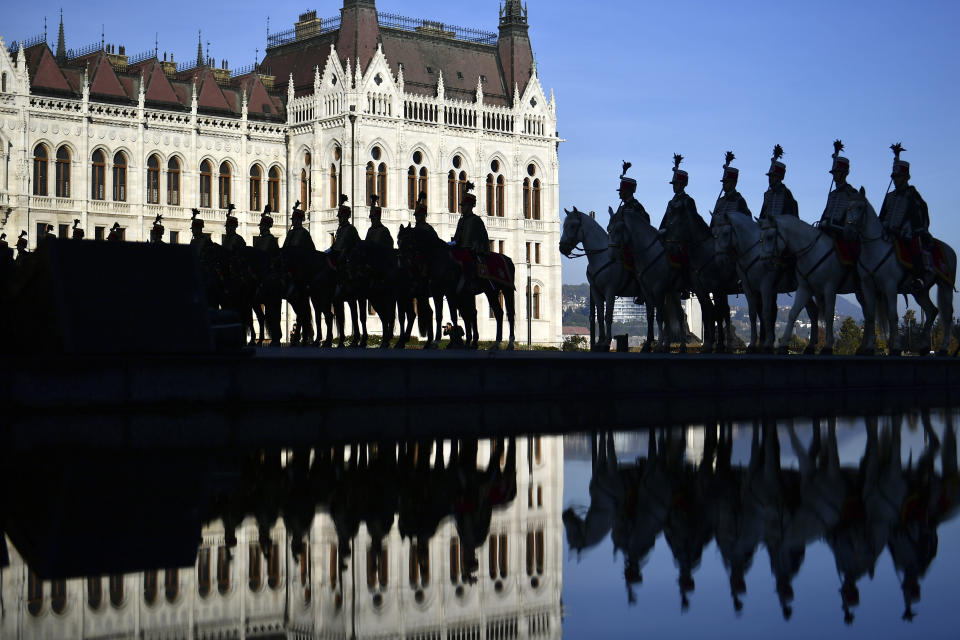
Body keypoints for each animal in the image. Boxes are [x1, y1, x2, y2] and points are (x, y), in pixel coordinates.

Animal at [764, 214, 864, 356]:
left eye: (770, 237)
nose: (764, 260)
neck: (813, 252)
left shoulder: (829, 289)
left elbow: (829, 314)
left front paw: (828, 346)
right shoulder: (804, 289)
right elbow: (793, 313)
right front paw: (784, 345)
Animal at [844, 199, 956, 356]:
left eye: (860, 208)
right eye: (848, 208)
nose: (847, 231)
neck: (874, 249)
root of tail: (950, 250)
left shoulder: (890, 286)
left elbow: (892, 315)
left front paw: (895, 347)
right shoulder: (867, 286)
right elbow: (870, 315)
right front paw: (869, 348)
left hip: (946, 285)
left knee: (947, 314)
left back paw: (944, 347)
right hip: (920, 292)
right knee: (932, 311)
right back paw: (924, 346)